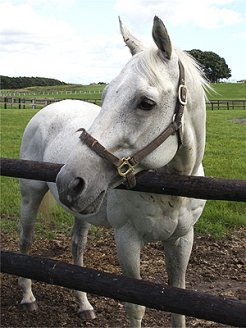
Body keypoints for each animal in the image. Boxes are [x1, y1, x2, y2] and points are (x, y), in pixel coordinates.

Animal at [18, 16, 208, 326]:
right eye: (106, 95)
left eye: (146, 103)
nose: (68, 181)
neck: (171, 193)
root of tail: (47, 109)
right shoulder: (127, 239)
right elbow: (136, 308)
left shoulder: (181, 241)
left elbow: (178, 303)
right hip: (30, 194)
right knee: (26, 241)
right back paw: (27, 297)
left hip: (84, 208)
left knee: (77, 249)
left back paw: (84, 305)